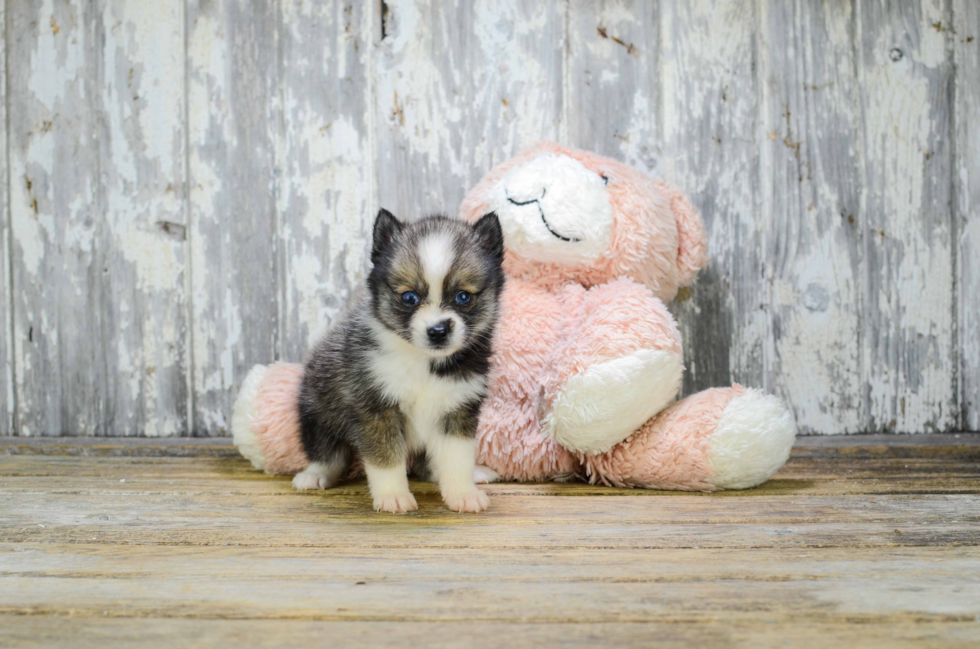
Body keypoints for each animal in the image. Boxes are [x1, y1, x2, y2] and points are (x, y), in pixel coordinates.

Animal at [290, 208, 506, 512]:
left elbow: (457, 458)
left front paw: (463, 493)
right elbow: (386, 458)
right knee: (328, 452)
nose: (438, 330)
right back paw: (315, 474)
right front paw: (393, 495)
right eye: (409, 297)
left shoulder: (458, 409)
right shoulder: (375, 408)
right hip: (317, 409)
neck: (423, 362)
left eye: (463, 297)